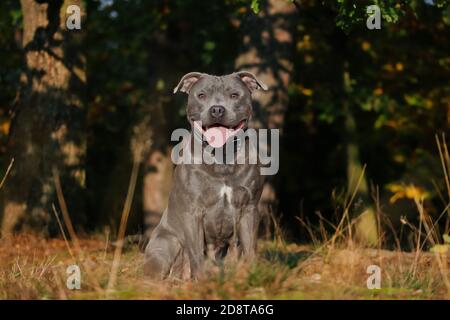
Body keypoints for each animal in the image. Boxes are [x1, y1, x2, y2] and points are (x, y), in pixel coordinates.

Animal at [145, 71, 268, 278]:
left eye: (234, 95)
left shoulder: (249, 209)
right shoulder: (192, 211)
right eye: (201, 95)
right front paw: (201, 280)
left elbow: (250, 248)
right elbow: (196, 254)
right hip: (166, 245)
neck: (221, 159)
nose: (217, 110)